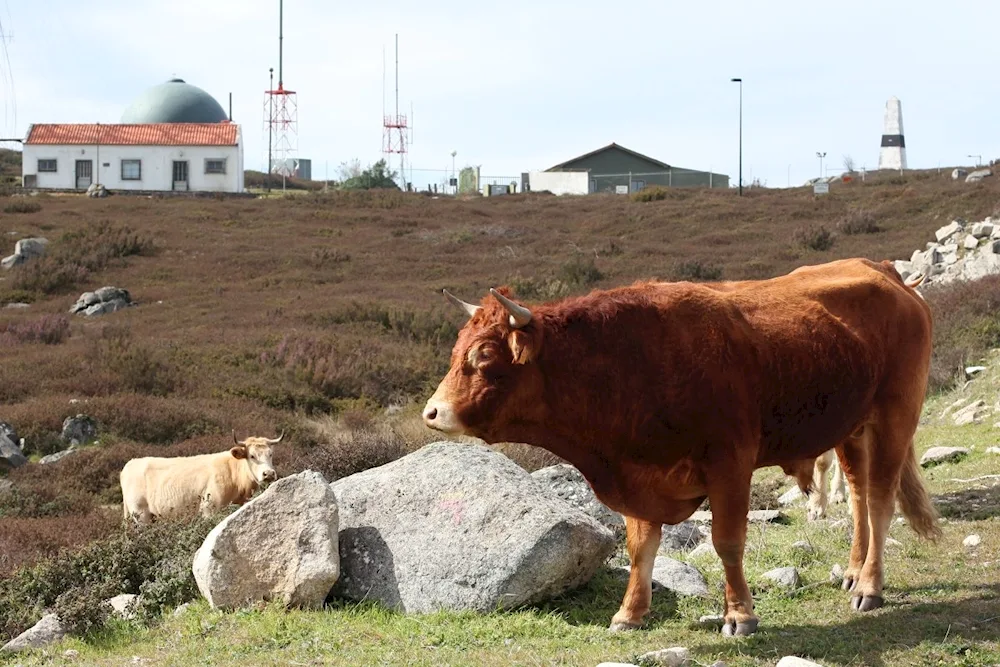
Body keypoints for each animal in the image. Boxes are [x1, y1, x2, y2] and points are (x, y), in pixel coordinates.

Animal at [124, 430, 286, 524]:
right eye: (252, 456)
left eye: (271, 454)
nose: (269, 473)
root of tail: (131, 463)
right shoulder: (209, 510)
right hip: (140, 514)